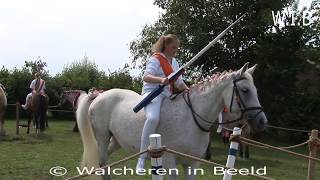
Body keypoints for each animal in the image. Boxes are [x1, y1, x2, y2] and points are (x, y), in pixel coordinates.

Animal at [75, 62, 268, 179]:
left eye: (255, 90)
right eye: (245, 90)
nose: (262, 122)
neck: (190, 119)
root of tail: (99, 95)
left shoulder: (192, 164)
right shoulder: (169, 163)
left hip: (116, 140)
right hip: (102, 137)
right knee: (102, 163)